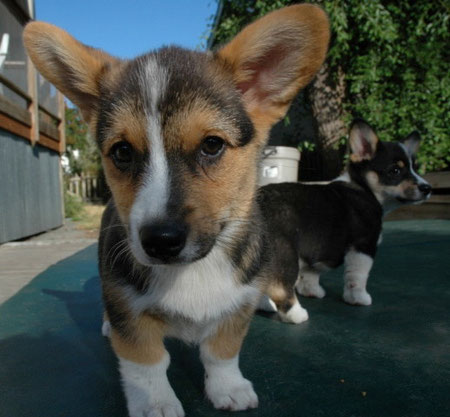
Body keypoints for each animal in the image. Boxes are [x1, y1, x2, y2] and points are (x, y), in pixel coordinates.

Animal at [22, 4, 328, 414]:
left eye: (212, 145)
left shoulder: (235, 308)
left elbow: (222, 351)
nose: (160, 241)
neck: (190, 271)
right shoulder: (129, 309)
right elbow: (147, 363)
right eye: (122, 152)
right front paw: (155, 403)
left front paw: (228, 388)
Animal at [260, 118, 432, 324]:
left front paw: (312, 291)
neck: (365, 189)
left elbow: (311, 274)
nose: (427, 188)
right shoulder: (363, 247)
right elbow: (358, 277)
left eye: (415, 168)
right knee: (280, 287)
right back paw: (296, 314)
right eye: (395, 170)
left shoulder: (319, 247)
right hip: (285, 256)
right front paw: (358, 298)